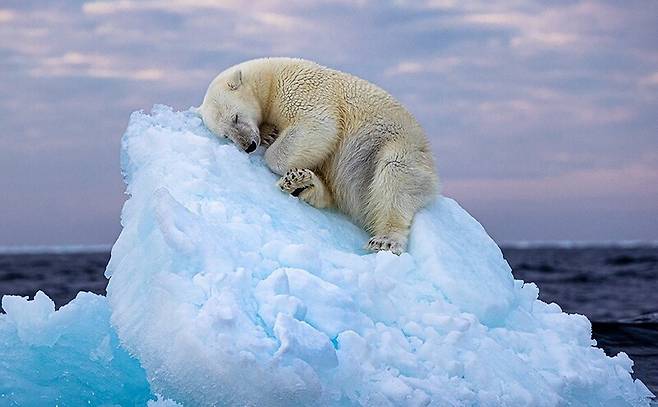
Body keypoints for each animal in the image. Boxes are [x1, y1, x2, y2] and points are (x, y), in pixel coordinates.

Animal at [197, 57, 438, 255]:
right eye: (226, 135)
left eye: (236, 117)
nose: (249, 146)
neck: (271, 78)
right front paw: (269, 133)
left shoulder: (302, 90)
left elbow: (319, 125)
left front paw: (272, 146)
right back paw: (302, 183)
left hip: (395, 145)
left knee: (394, 177)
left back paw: (385, 240)